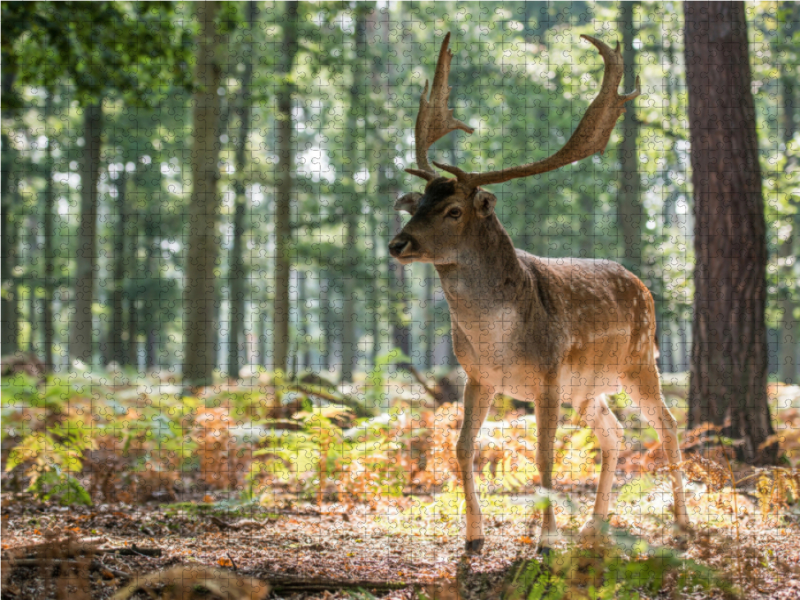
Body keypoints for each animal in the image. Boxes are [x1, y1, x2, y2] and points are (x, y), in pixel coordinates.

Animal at [388, 35, 688, 556]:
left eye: (452, 210)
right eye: (417, 204)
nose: (397, 244)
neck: (498, 338)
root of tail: (641, 285)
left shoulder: (548, 374)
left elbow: (545, 453)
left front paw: (545, 540)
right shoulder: (477, 375)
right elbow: (463, 446)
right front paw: (473, 537)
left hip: (639, 360)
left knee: (666, 424)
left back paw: (681, 524)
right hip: (587, 387)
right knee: (614, 433)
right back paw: (593, 526)